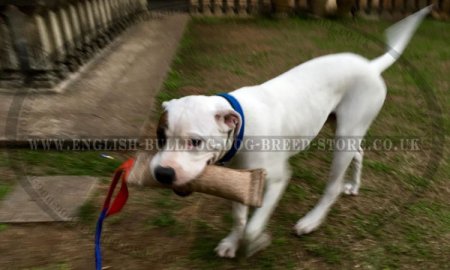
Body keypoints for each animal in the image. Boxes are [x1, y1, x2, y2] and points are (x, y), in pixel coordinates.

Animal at [147, 7, 428, 258]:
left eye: (195, 141)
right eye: (161, 137)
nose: (162, 173)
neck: (242, 128)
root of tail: (370, 66)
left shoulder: (277, 179)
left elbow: (252, 227)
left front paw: (257, 241)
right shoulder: (240, 179)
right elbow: (239, 218)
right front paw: (232, 241)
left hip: (345, 137)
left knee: (333, 186)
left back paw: (312, 220)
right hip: (344, 130)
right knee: (358, 153)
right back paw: (354, 185)